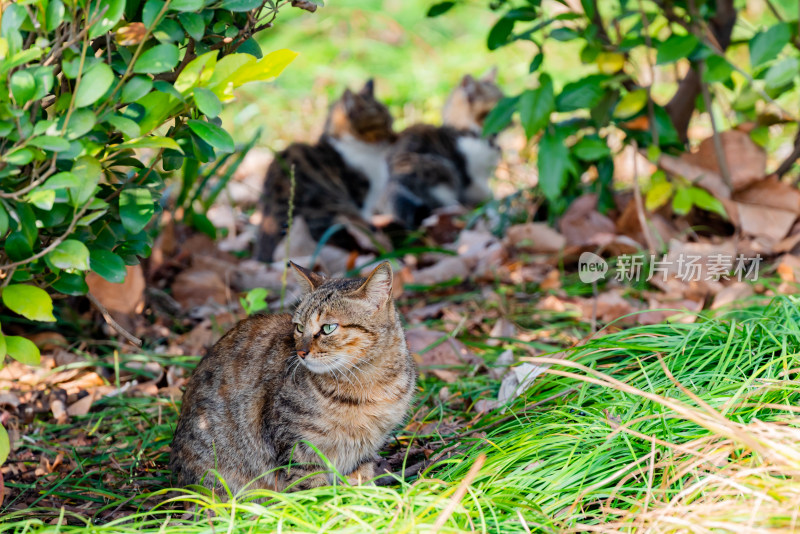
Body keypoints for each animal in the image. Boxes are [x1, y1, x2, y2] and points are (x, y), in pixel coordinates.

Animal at [170, 262, 418, 494]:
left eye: (328, 328)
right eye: (299, 327)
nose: (301, 352)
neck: (368, 383)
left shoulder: (365, 450)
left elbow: (361, 479)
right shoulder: (296, 446)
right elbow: (313, 490)